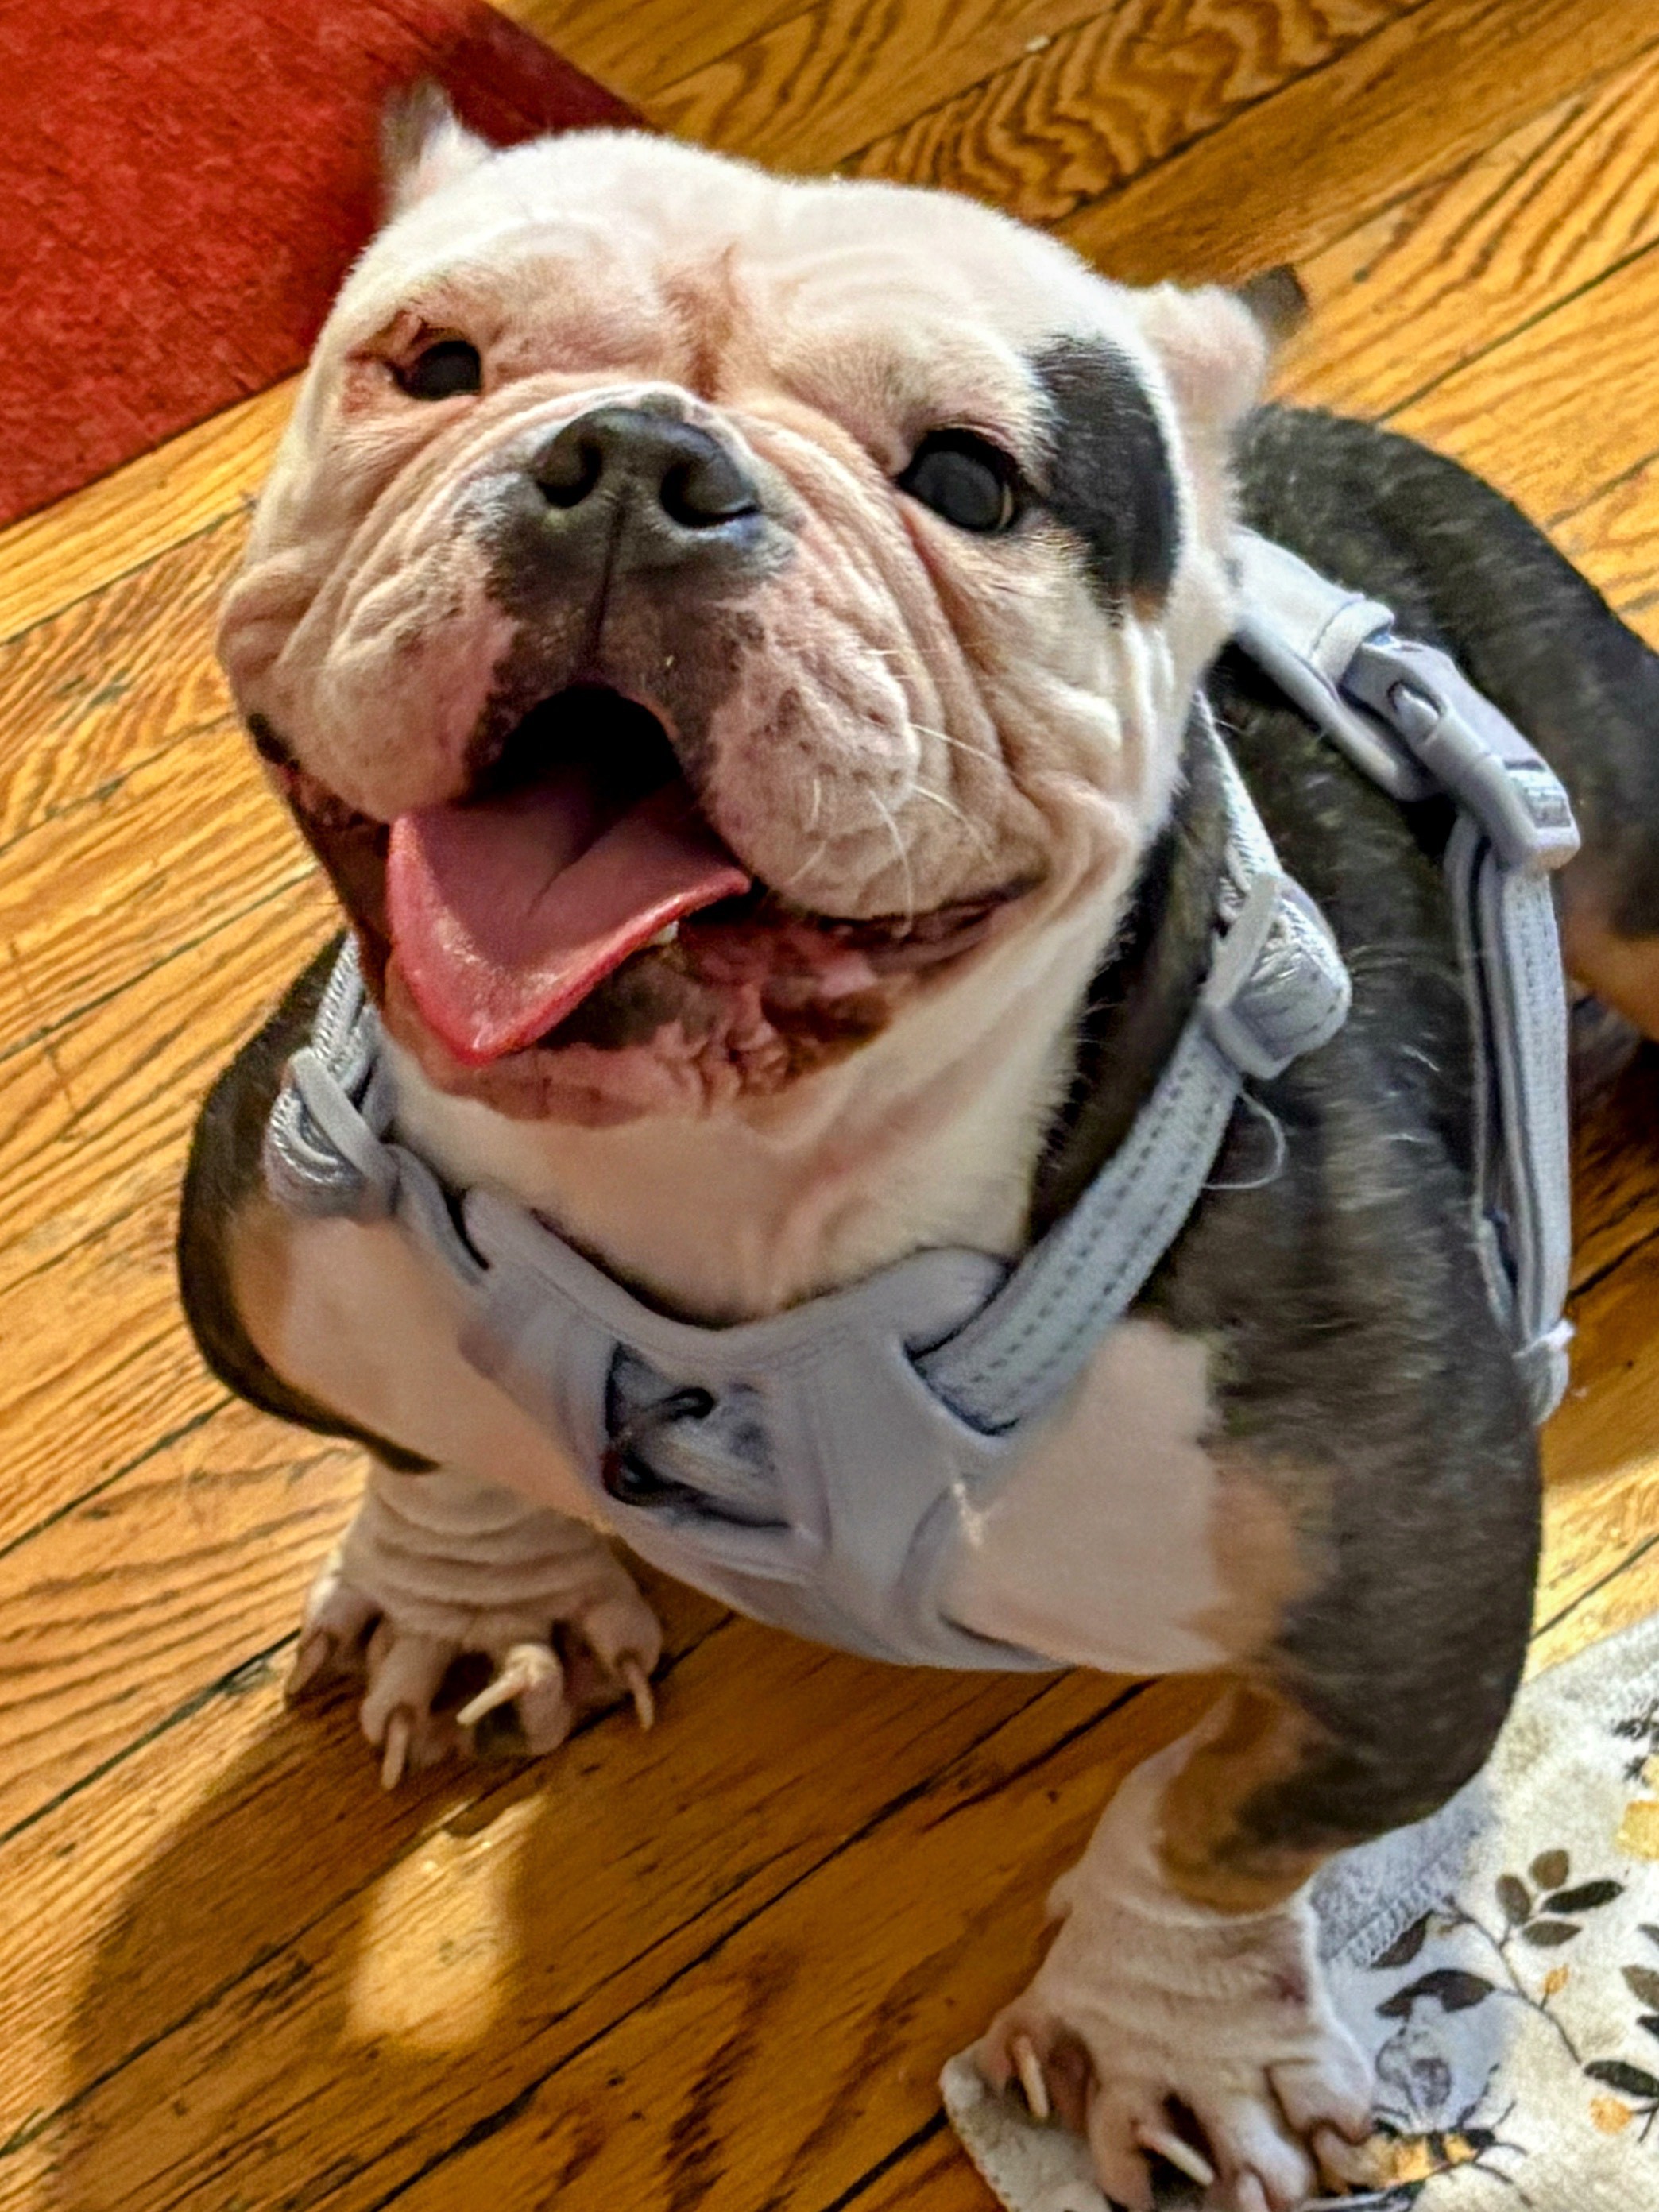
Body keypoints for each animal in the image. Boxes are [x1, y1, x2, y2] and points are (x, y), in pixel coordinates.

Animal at [178, 89, 1659, 2212]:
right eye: (437, 364)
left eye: (967, 479)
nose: (638, 461)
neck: (730, 1184)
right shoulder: (273, 1249)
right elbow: (425, 1432)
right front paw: (480, 1589)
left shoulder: (1407, 1590)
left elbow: (1219, 1816)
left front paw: (1167, 2032)